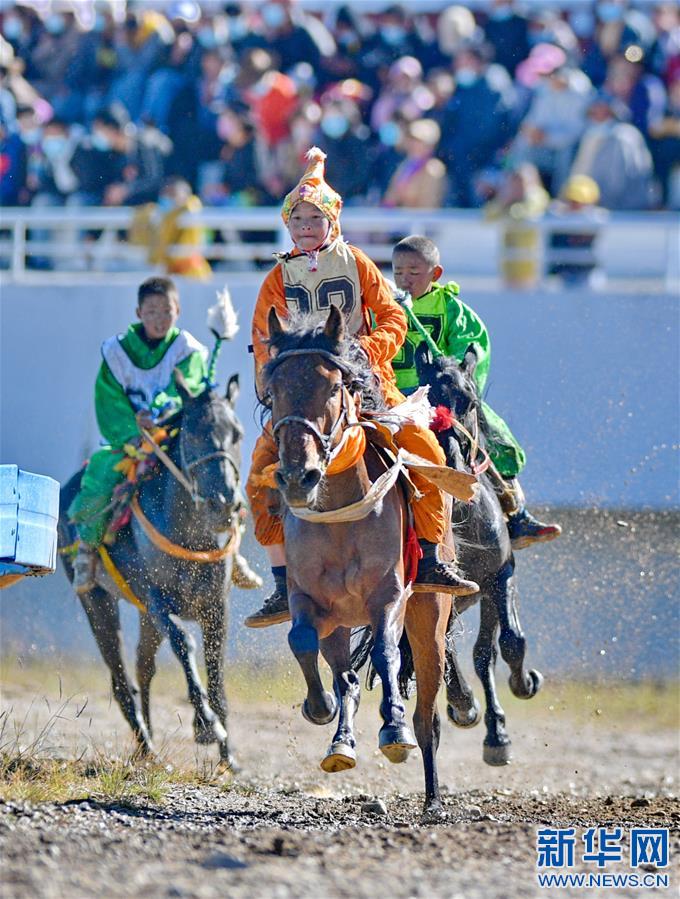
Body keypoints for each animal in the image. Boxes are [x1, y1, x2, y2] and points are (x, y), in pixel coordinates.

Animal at [58, 374, 244, 768]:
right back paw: (146, 744)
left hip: (143, 618)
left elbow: (216, 669)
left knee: (143, 667)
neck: (192, 535)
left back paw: (149, 745)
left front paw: (227, 755)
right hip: (98, 601)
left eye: (236, 433)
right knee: (120, 677)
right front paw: (206, 723)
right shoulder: (157, 599)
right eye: (193, 434)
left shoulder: (215, 605)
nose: (224, 503)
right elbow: (184, 643)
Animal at [262, 306, 454, 820]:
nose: (298, 477)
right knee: (344, 673)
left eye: (333, 388)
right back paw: (340, 744)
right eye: (275, 389)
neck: (340, 513)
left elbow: (387, 654)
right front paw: (320, 706)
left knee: (429, 711)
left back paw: (431, 795)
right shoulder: (310, 599)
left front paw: (393, 730)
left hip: (429, 618)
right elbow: (302, 640)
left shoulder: (388, 595)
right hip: (341, 623)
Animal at [414, 344, 540, 768]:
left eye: (469, 400)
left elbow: (507, 642)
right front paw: (464, 703)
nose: (450, 461)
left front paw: (523, 685)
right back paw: (463, 704)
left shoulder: (499, 574)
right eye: (425, 399)